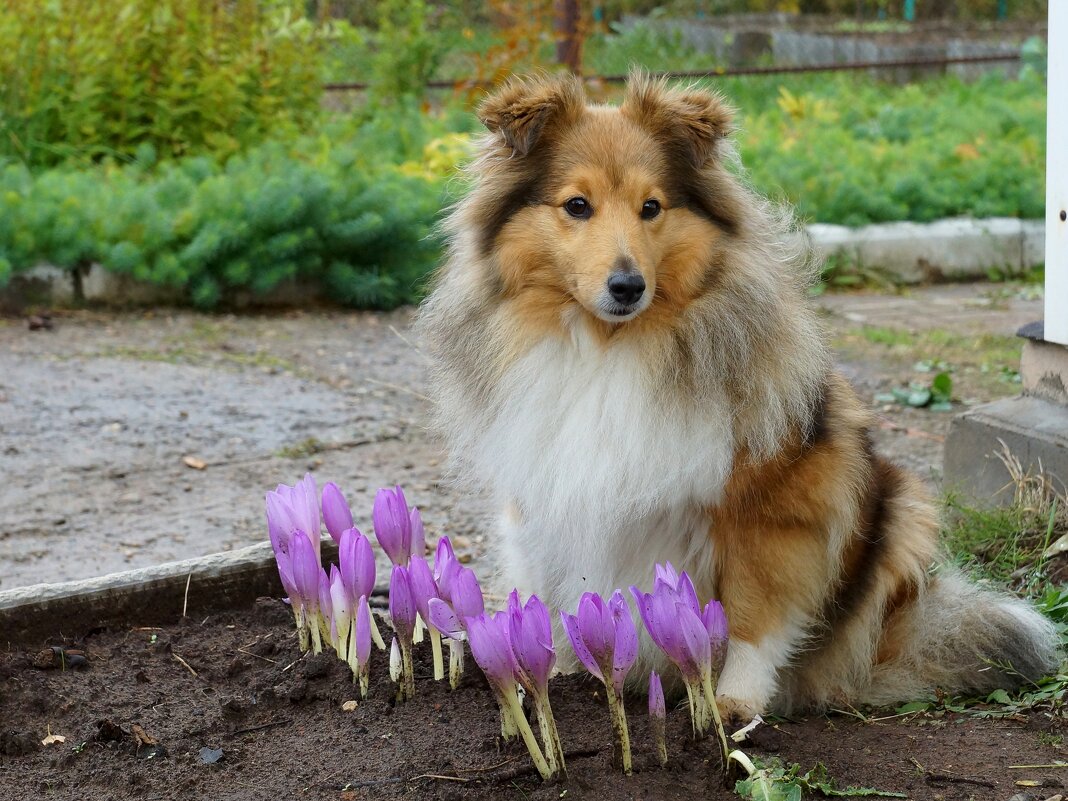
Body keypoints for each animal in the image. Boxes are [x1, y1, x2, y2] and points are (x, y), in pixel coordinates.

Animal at [416, 72, 1059, 717]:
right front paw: (546, 678)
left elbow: (753, 613)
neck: (610, 347)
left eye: (652, 207)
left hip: (900, 508)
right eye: (577, 205)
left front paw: (733, 706)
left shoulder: (774, 507)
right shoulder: (537, 497)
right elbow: (545, 597)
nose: (627, 286)